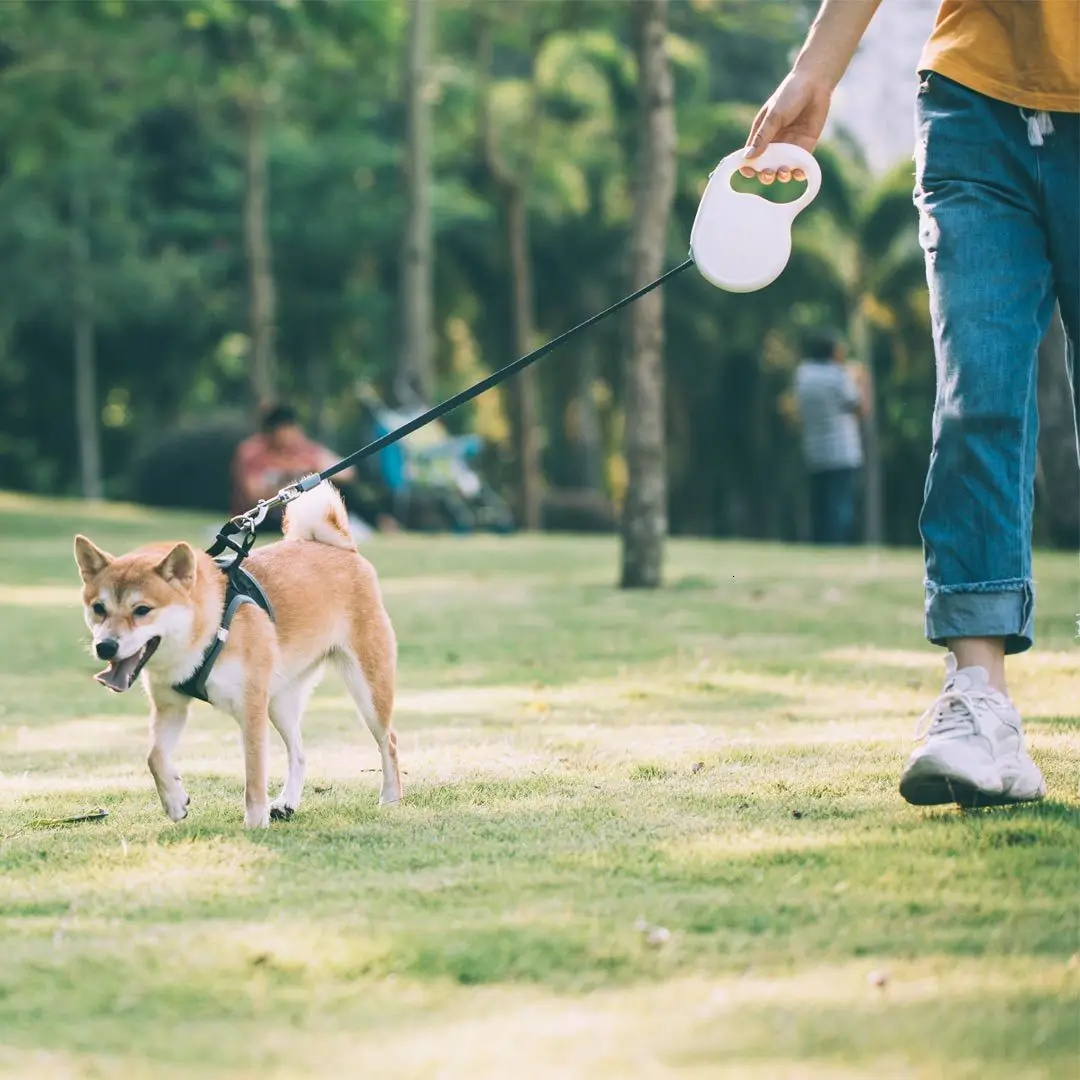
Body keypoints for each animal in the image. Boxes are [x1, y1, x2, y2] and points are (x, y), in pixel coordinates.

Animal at [72, 481, 401, 825]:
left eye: (142, 610)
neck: (208, 628)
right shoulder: (171, 707)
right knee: (299, 753)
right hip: (280, 701)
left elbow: (253, 778)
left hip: (367, 691)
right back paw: (287, 802)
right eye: (99, 608)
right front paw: (175, 801)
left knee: (388, 742)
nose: (105, 646)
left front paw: (255, 823)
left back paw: (390, 798)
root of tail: (342, 549)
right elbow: (155, 756)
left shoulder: (250, 709)